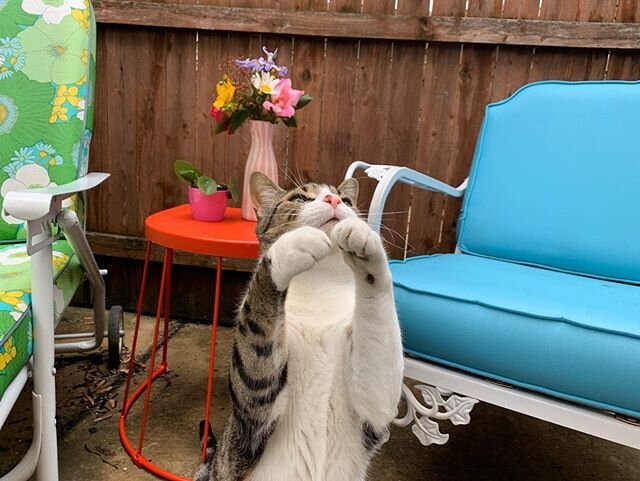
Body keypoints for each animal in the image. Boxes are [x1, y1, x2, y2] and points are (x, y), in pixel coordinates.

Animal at [195, 172, 402, 480]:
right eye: (300, 198)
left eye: (347, 200)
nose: (334, 200)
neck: (319, 287)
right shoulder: (254, 408)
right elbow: (258, 308)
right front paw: (293, 246)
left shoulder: (373, 410)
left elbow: (378, 315)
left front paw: (364, 235)